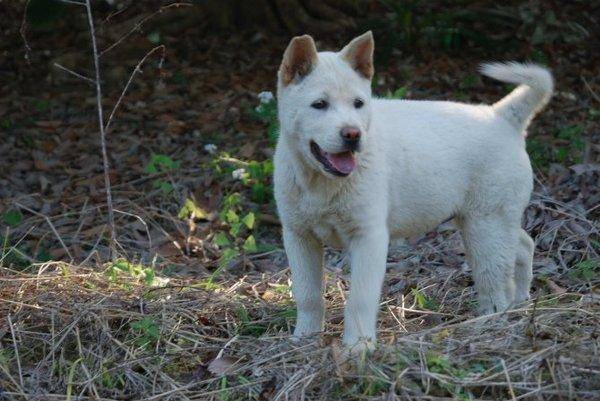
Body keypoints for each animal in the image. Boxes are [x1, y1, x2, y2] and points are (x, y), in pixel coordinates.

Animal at [272, 31, 552, 348]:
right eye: (319, 105)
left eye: (358, 103)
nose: (353, 135)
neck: (322, 182)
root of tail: (501, 116)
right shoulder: (298, 235)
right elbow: (307, 294)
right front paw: (304, 338)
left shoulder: (369, 237)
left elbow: (360, 298)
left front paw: (359, 347)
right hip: (492, 219)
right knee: (523, 246)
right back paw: (521, 303)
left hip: (486, 223)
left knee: (494, 276)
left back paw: (491, 321)